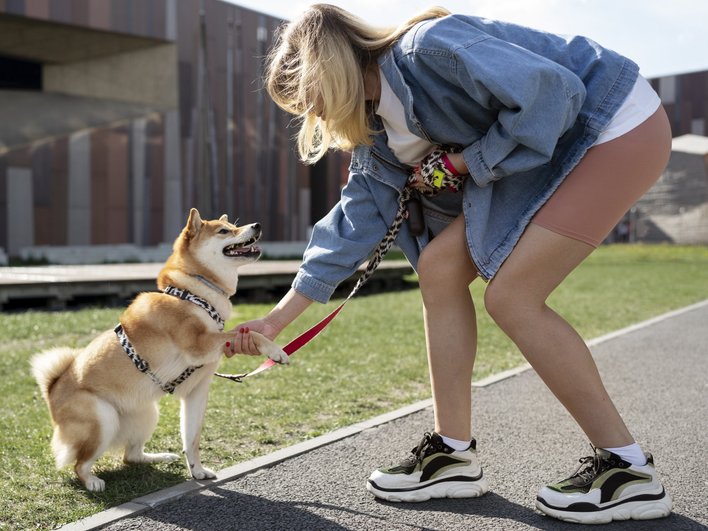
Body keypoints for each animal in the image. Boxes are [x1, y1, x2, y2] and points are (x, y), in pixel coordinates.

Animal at [32, 208, 288, 490]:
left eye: (233, 225)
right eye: (224, 231)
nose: (257, 225)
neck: (194, 293)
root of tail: (52, 390)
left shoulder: (197, 391)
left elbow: (192, 439)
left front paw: (197, 471)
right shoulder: (198, 344)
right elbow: (249, 333)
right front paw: (275, 350)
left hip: (147, 414)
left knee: (130, 456)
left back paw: (160, 457)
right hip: (103, 419)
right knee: (80, 464)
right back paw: (92, 482)